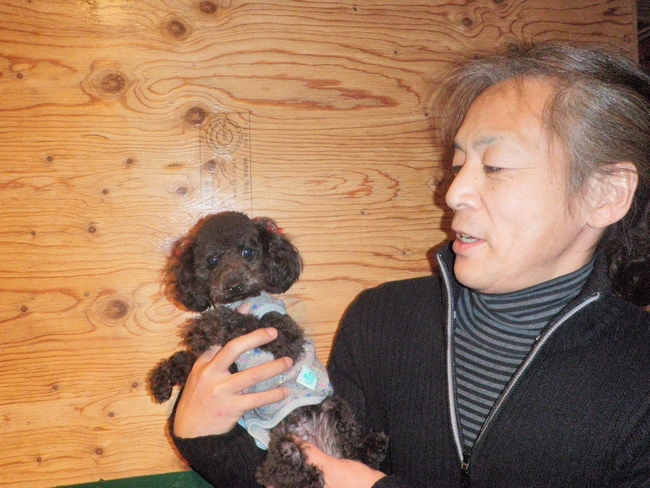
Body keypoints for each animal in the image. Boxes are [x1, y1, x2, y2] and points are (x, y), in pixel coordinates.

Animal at [148, 211, 388, 488]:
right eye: (213, 259)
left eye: (248, 252)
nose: (234, 285)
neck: (241, 300)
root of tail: (316, 440)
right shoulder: (227, 363)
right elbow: (185, 361)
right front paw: (161, 380)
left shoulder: (284, 336)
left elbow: (247, 323)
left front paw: (205, 325)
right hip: (283, 444)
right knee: (275, 470)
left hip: (333, 407)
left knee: (351, 450)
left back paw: (368, 447)